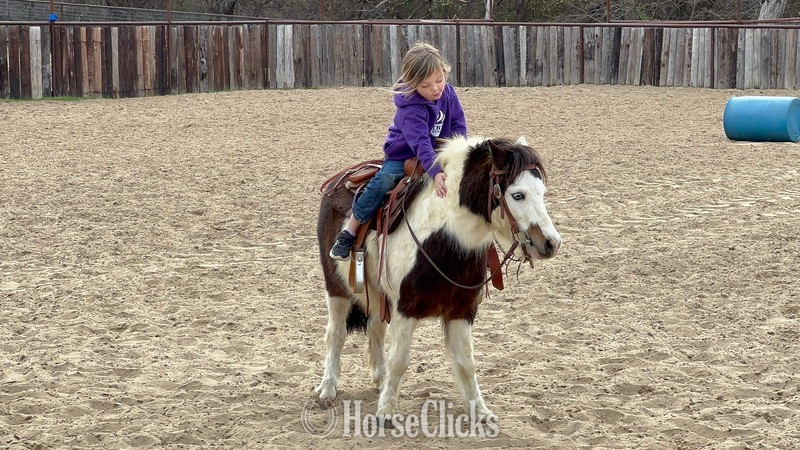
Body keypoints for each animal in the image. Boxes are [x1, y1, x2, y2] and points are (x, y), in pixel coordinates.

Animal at [314, 135, 562, 423]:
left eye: (542, 192)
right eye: (518, 194)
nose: (551, 243)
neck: (442, 239)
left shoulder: (462, 310)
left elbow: (466, 363)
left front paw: (480, 411)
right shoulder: (405, 309)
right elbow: (399, 361)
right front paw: (386, 412)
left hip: (378, 293)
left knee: (375, 329)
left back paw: (379, 379)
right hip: (336, 288)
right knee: (336, 334)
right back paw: (328, 388)